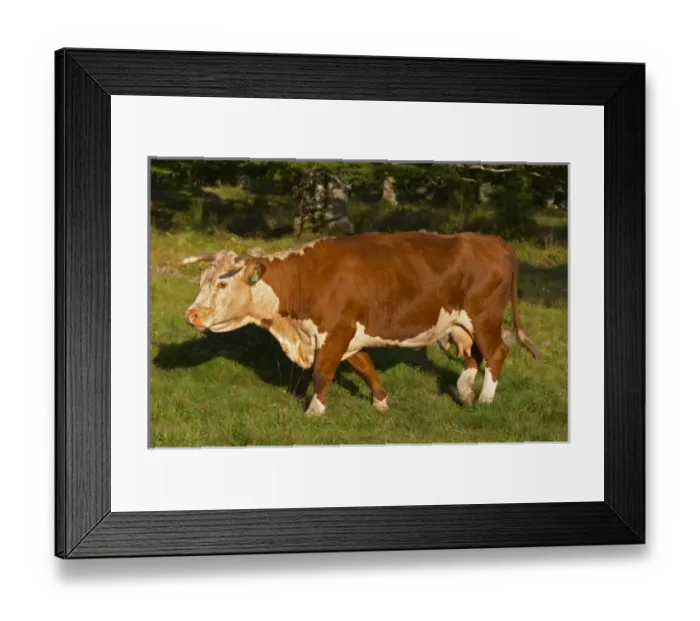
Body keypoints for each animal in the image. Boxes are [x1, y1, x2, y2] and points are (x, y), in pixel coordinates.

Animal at [181, 231, 541, 417]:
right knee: (473, 355)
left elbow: (323, 371)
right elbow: (364, 365)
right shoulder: (349, 334)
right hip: (460, 324)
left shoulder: (335, 331)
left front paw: (314, 410)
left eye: (222, 284)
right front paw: (381, 401)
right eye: (202, 280)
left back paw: (485, 400)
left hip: (485, 317)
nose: (191, 314)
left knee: (495, 353)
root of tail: (493, 240)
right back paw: (465, 391)